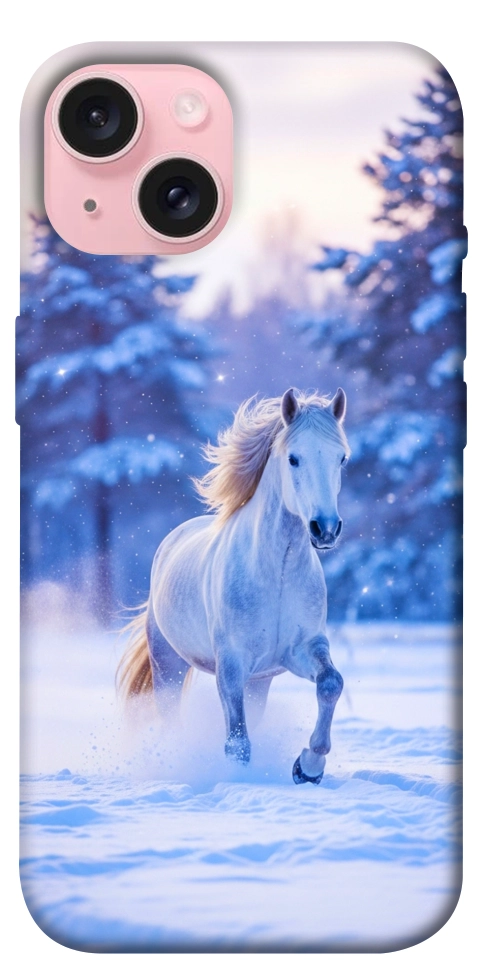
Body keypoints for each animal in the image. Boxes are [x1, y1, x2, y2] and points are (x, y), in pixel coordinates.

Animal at [118, 387, 350, 784]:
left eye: (341, 458)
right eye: (294, 458)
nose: (325, 529)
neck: (277, 573)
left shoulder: (301, 649)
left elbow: (331, 683)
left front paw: (308, 767)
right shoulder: (231, 664)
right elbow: (237, 742)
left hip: (259, 682)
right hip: (168, 665)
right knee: (170, 717)